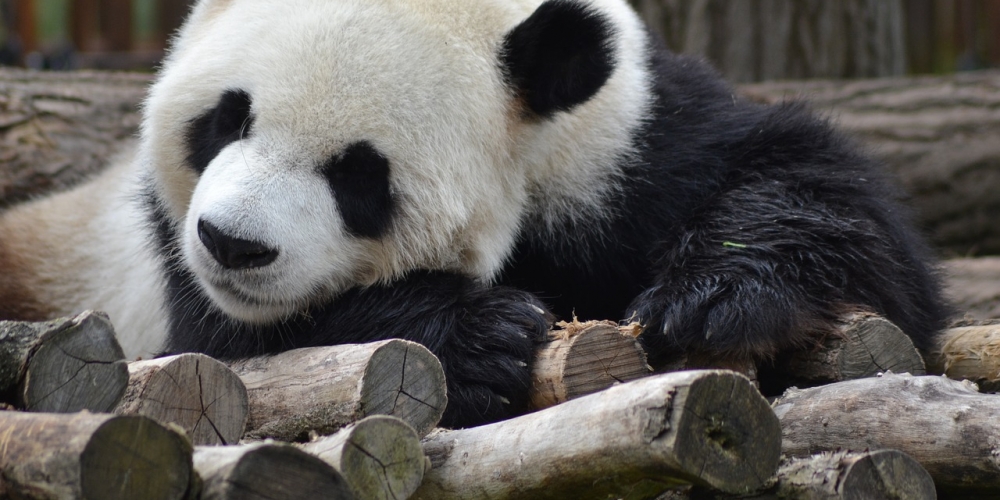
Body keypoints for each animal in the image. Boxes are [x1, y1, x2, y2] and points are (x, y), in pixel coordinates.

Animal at [0, 0, 949, 428]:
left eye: (360, 176)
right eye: (227, 119)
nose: (232, 245)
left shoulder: (629, 146)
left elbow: (838, 210)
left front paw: (715, 297)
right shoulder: (166, 273)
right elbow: (235, 349)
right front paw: (482, 334)